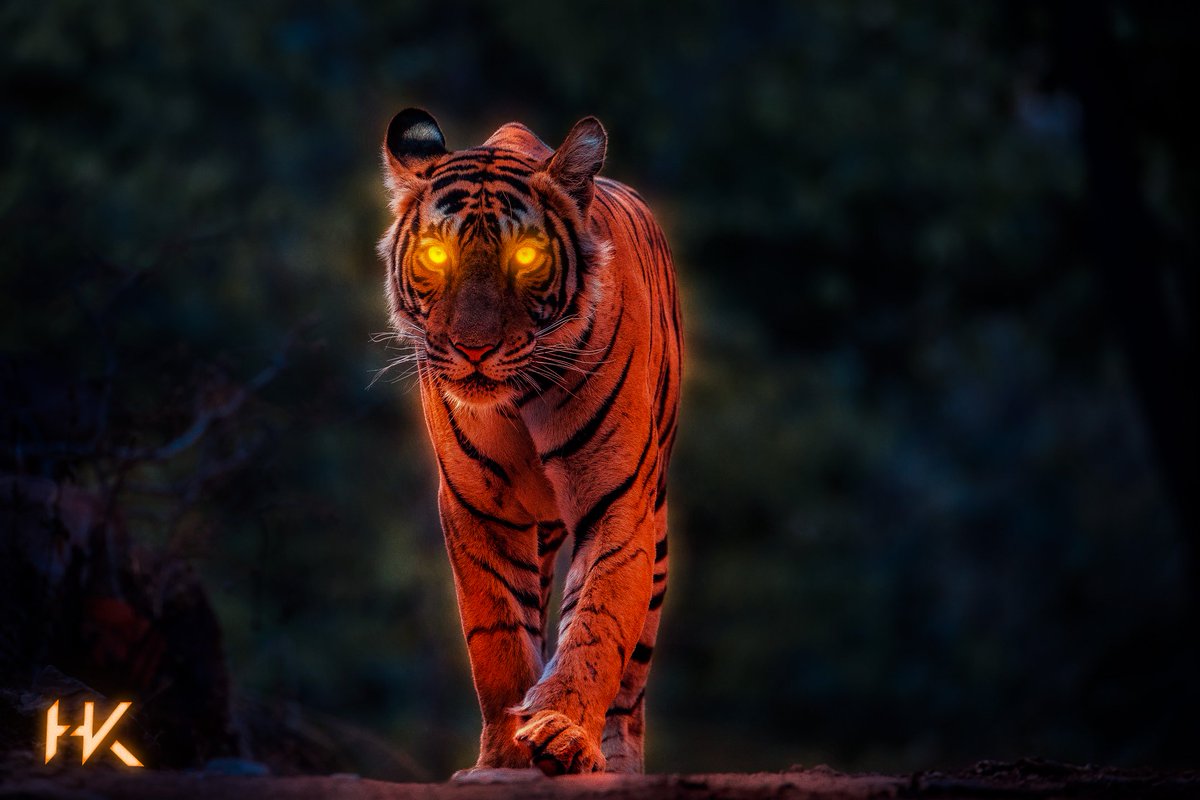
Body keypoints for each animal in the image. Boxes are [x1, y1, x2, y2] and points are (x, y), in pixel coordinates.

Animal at [377, 108, 681, 777]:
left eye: (526, 256)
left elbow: (596, 622)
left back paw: (616, 761)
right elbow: (498, 637)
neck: (519, 401)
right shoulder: (477, 509)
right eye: (436, 253)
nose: (473, 349)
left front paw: (563, 730)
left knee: (632, 684)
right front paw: (502, 757)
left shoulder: (618, 500)